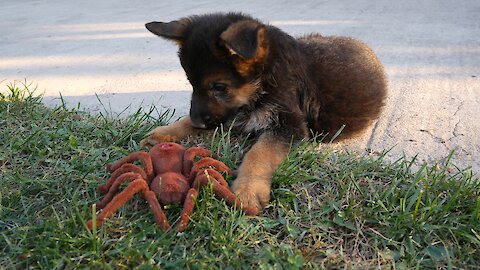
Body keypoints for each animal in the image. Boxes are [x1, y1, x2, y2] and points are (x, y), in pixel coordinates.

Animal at [141, 12, 388, 214]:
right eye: (191, 83)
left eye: (219, 87)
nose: (198, 123)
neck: (265, 79)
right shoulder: (231, 114)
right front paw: (165, 133)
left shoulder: (288, 125)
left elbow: (259, 153)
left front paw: (248, 188)